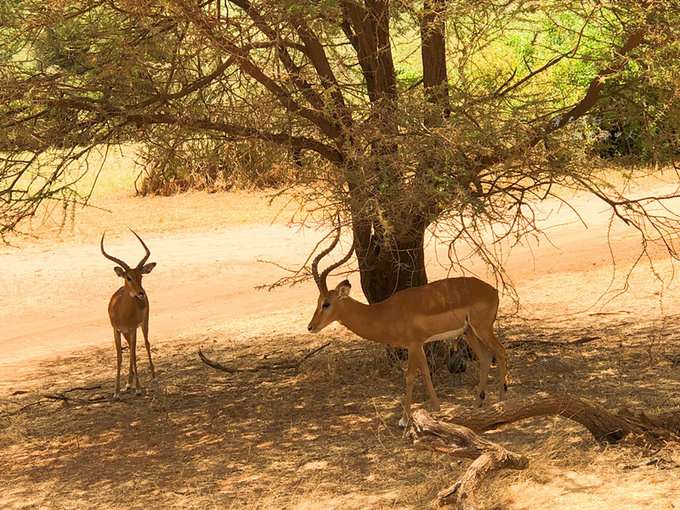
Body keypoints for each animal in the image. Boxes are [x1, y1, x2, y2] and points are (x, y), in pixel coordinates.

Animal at [101, 229, 157, 400]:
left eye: (141, 276)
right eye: (128, 277)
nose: (141, 293)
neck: (122, 313)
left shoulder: (132, 329)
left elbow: (132, 353)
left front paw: (138, 389)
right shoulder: (116, 330)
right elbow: (120, 356)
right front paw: (117, 392)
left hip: (144, 324)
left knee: (145, 344)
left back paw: (153, 378)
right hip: (127, 332)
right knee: (132, 349)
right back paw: (128, 383)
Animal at [306, 228, 504, 426]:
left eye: (326, 303)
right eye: (318, 301)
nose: (311, 327)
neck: (384, 313)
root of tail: (493, 291)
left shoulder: (413, 344)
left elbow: (409, 377)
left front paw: (403, 420)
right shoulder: (420, 345)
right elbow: (425, 373)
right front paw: (437, 410)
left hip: (482, 329)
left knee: (500, 351)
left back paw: (503, 400)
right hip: (469, 332)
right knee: (486, 357)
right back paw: (477, 404)